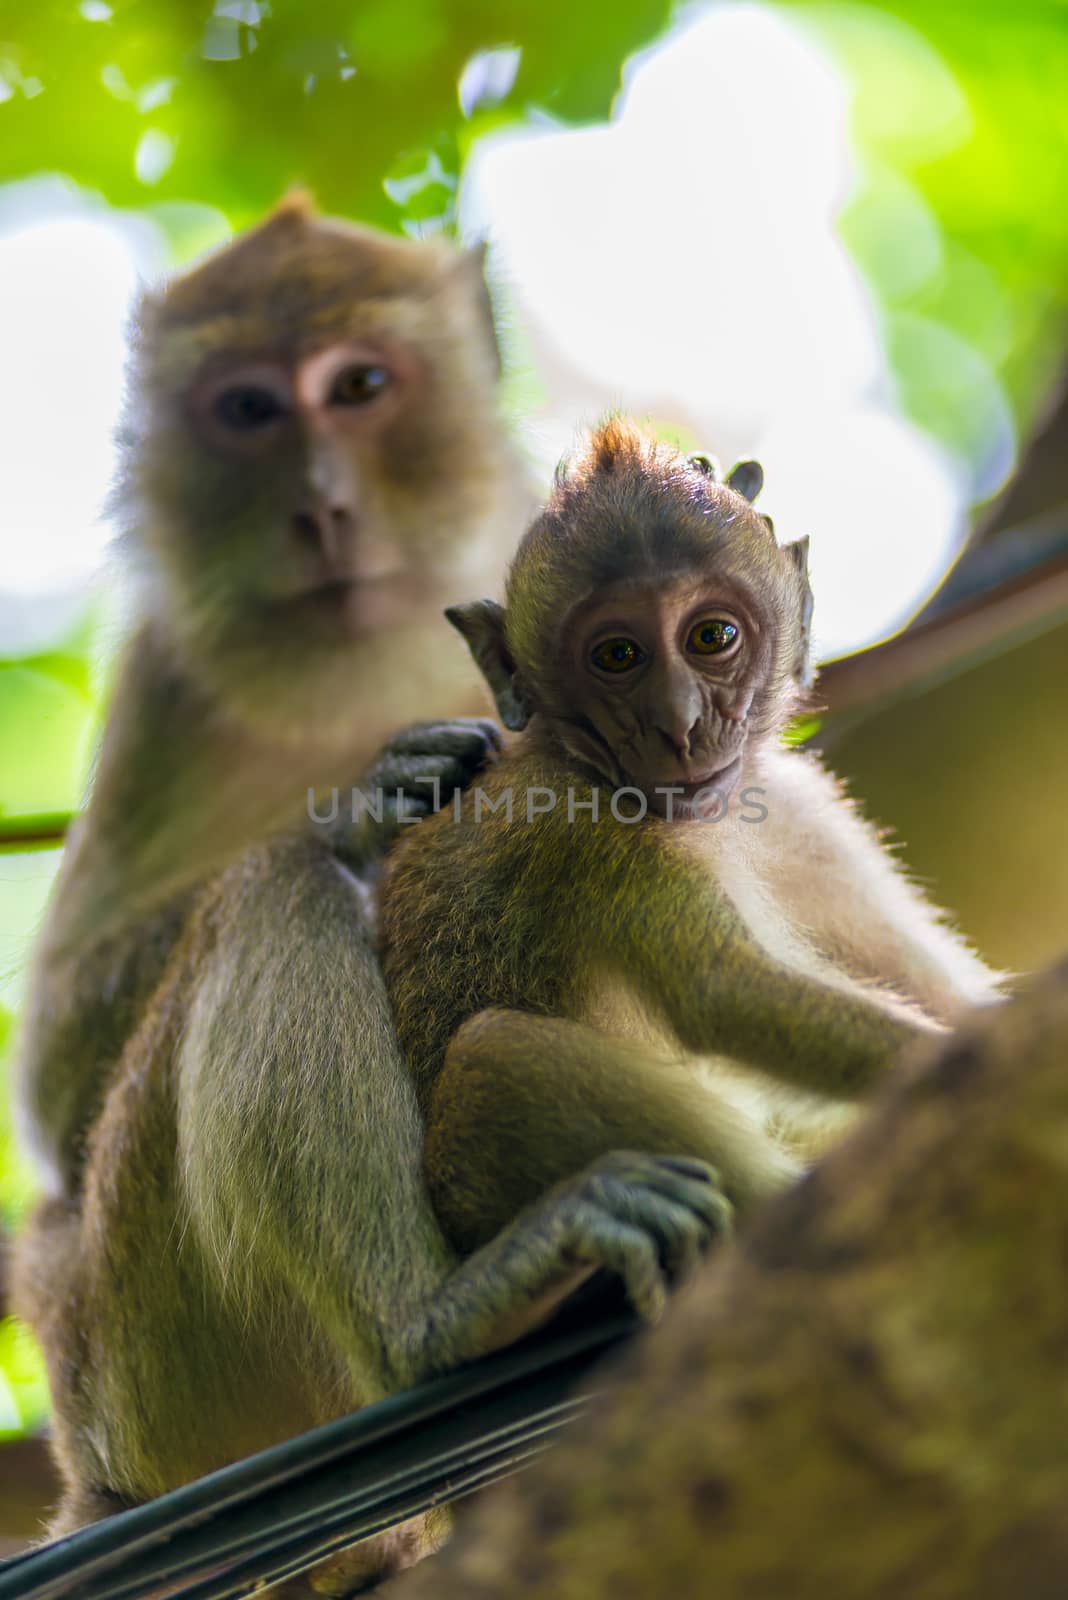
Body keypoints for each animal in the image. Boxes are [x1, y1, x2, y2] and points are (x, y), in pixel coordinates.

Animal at [382, 422, 1004, 1248]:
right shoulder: (580, 832)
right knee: (497, 1055)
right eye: (617, 655)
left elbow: (935, 989)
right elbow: (728, 995)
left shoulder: (804, 817)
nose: (678, 724)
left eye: (713, 636)